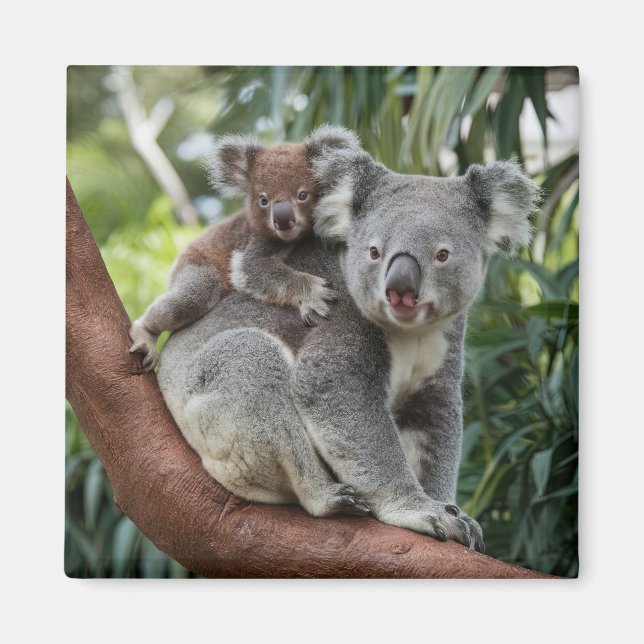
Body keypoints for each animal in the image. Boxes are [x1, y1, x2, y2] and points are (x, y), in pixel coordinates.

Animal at [129, 125, 361, 371]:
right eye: (263, 200)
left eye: (302, 195)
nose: (283, 220)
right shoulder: (256, 242)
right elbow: (253, 269)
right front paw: (315, 293)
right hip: (195, 265)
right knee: (191, 296)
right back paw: (145, 333)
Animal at [155, 129, 540, 551]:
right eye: (373, 252)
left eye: (442, 255)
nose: (400, 288)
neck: (409, 332)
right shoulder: (338, 322)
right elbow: (340, 398)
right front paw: (422, 512)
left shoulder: (441, 357)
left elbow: (432, 427)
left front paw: (456, 514)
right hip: (213, 411)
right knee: (251, 364)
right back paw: (327, 497)